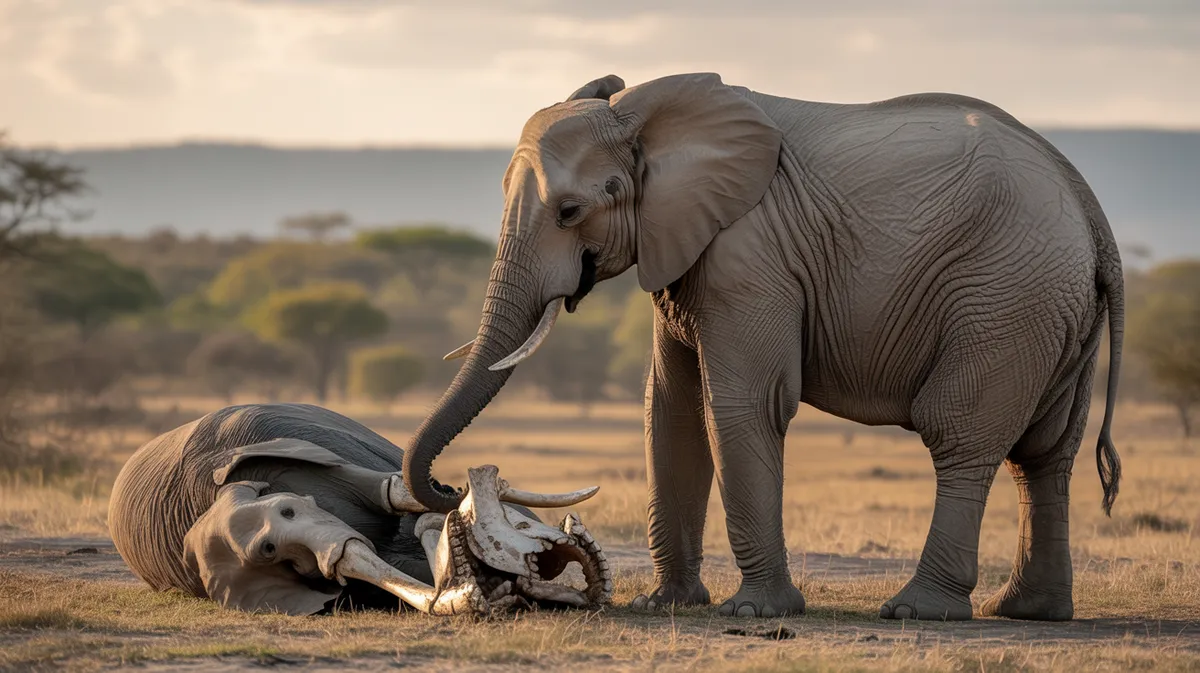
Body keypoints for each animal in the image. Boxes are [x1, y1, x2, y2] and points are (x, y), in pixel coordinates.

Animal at [400, 72, 1125, 622]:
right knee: (1044, 455)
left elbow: (742, 405)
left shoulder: (748, 255)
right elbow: (670, 412)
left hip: (1005, 299)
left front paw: (753, 612)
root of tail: (1094, 216)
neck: (644, 116)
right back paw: (1030, 611)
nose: (450, 484)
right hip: (1051, 312)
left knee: (961, 436)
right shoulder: (683, 246)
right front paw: (668, 603)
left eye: (570, 212)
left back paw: (919, 610)